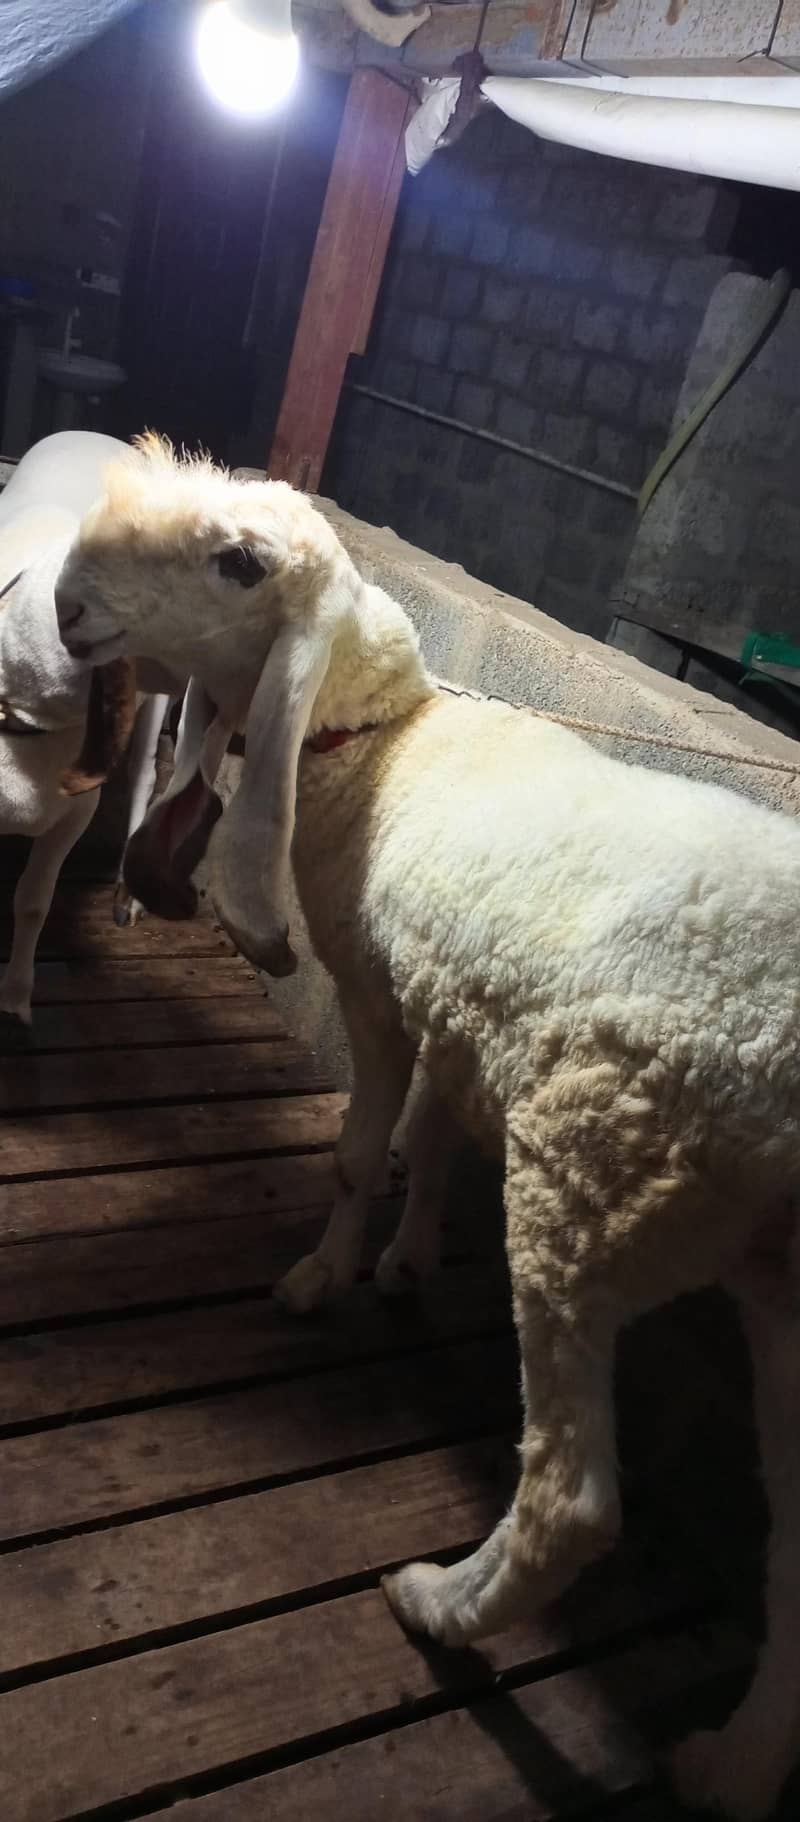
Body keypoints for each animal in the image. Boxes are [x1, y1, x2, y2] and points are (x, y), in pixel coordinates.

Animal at [53, 436, 800, 1822]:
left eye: (239, 564)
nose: (69, 607)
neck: (381, 738)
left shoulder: (370, 983)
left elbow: (364, 1147)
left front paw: (323, 1275)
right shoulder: (445, 997)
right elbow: (440, 1133)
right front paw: (403, 1258)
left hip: (589, 1182)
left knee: (570, 1499)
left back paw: (439, 1605)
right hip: (785, 1291)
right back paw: (734, 1765)